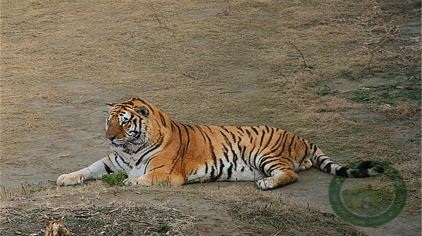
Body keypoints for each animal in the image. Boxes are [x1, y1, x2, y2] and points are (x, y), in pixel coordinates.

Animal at [56, 97, 386, 190]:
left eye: (124, 122)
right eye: (109, 121)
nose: (109, 138)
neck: (131, 148)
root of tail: (300, 136)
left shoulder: (166, 173)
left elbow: (145, 178)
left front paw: (130, 183)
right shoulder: (112, 161)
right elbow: (87, 168)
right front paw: (65, 177)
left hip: (264, 154)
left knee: (290, 174)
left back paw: (266, 183)